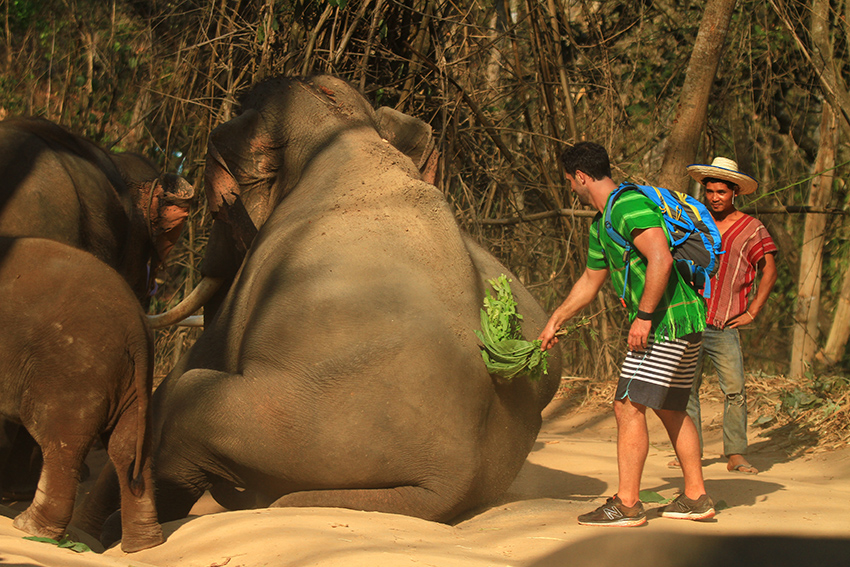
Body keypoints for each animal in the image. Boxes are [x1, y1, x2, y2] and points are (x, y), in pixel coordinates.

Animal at [0, 237, 162, 552]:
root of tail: (137, 326)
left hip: (73, 369)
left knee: (61, 442)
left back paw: (29, 527)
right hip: (132, 380)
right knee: (128, 446)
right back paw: (144, 545)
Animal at [102, 74, 560, 532]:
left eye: (218, 205)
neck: (339, 129)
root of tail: (451, 482)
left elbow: (197, 358)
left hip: (298, 429)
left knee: (189, 401)